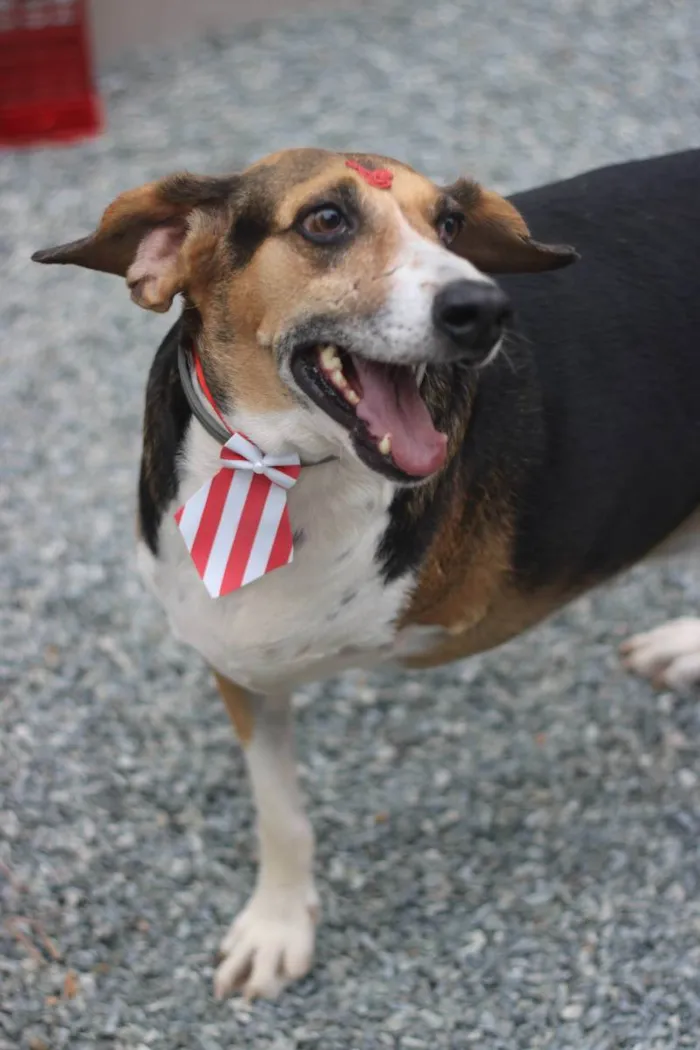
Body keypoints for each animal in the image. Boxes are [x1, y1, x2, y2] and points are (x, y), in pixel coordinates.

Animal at [34, 148, 700, 999]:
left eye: (450, 223)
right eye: (325, 220)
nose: (485, 308)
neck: (280, 469)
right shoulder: (240, 667)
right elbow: (280, 813)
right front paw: (279, 925)